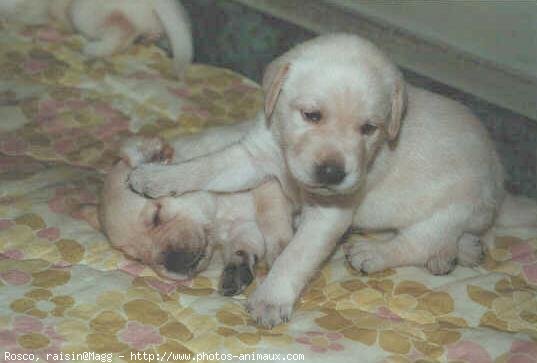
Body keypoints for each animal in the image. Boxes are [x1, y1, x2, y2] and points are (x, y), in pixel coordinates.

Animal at [90, 136, 296, 296]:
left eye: (157, 216)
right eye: (140, 259)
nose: (171, 263)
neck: (219, 210)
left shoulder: (269, 181)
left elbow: (270, 214)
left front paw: (280, 251)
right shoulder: (241, 226)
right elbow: (243, 245)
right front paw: (236, 272)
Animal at [129, 34, 536, 328]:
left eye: (369, 128)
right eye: (311, 115)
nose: (332, 173)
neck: (288, 160)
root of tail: (501, 185)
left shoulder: (331, 213)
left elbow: (297, 255)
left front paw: (271, 298)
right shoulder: (254, 153)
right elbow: (208, 166)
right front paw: (157, 176)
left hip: (452, 206)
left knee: (417, 242)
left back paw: (375, 252)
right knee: (458, 239)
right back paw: (462, 251)